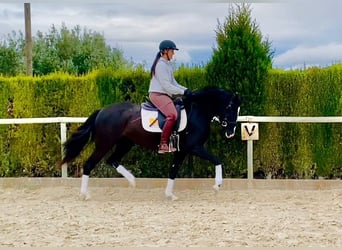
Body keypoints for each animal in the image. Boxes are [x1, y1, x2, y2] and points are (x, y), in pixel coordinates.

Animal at [60, 86, 242, 199]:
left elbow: (173, 170)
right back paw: (85, 194)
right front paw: (217, 185)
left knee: (113, 160)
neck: (197, 112)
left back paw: (133, 181)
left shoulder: (182, 151)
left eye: (238, 109)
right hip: (105, 144)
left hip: (125, 143)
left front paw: (170, 195)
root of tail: (102, 111)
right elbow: (217, 160)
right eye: (230, 107)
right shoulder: (194, 148)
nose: (231, 132)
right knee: (89, 164)